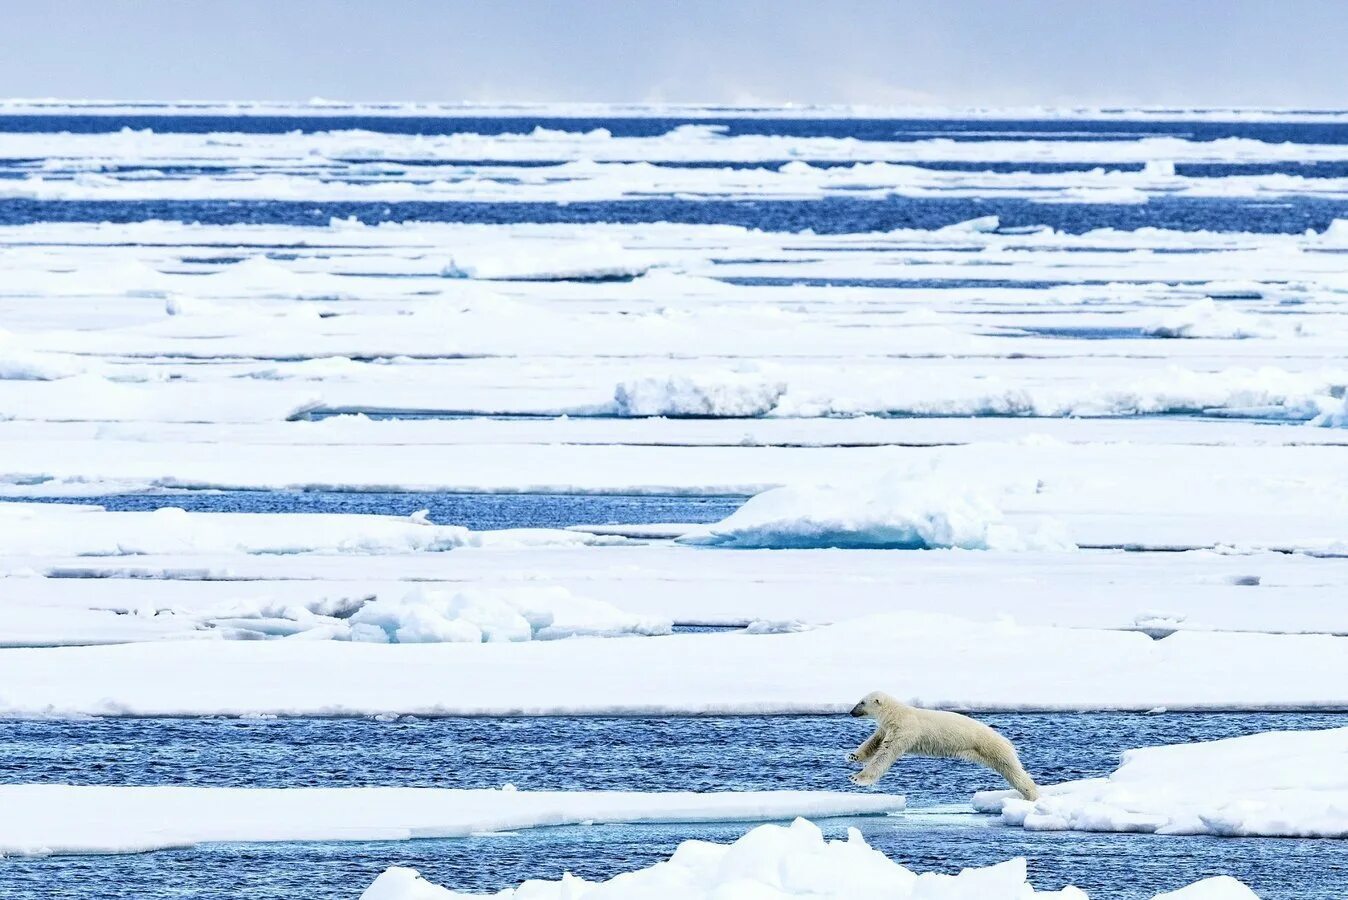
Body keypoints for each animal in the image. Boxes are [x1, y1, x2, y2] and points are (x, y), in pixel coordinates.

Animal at [841, 695, 1040, 797]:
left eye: (862, 702)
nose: (851, 712)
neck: (896, 713)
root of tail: (1006, 741)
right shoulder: (887, 728)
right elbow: (874, 742)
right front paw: (852, 756)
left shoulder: (905, 729)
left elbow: (885, 753)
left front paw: (857, 778)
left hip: (990, 747)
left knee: (1012, 769)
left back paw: (1030, 793)